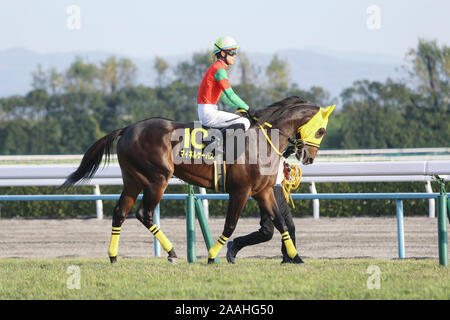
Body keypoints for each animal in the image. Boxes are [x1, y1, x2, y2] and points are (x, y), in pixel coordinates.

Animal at [60, 95, 334, 264]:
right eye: (321, 130)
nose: (308, 157)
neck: (262, 140)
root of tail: (127, 128)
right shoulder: (241, 190)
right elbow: (230, 225)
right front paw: (214, 255)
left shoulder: (264, 191)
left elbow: (280, 224)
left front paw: (295, 257)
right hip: (157, 179)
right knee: (144, 213)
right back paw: (171, 252)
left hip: (133, 180)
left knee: (120, 213)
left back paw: (113, 255)